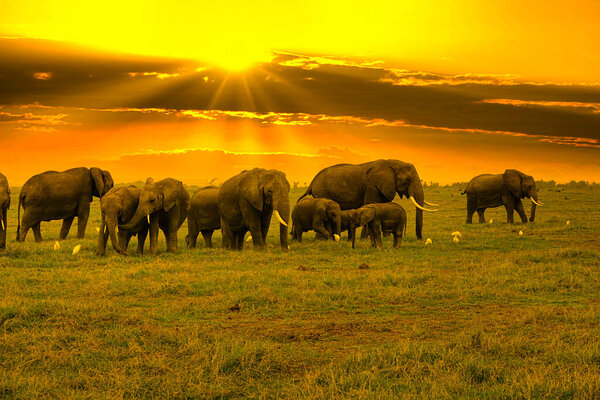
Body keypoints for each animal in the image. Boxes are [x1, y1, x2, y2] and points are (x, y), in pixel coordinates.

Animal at [298, 160, 436, 241]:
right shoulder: (372, 186)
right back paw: (322, 240)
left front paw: (385, 238)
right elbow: (370, 204)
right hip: (322, 191)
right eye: (407, 180)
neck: (392, 163)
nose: (420, 239)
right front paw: (365, 239)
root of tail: (312, 182)